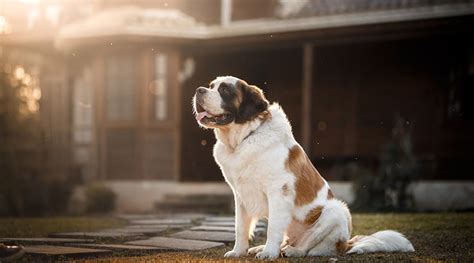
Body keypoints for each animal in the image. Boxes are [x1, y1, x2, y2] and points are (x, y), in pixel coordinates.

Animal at [193, 76, 414, 260]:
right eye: (212, 85)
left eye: (224, 90)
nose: (199, 90)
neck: (243, 139)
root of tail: (346, 244)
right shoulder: (240, 195)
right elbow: (240, 226)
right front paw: (238, 251)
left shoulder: (278, 192)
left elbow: (273, 227)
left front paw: (269, 253)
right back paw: (265, 247)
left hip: (336, 211)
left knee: (314, 248)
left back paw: (291, 251)